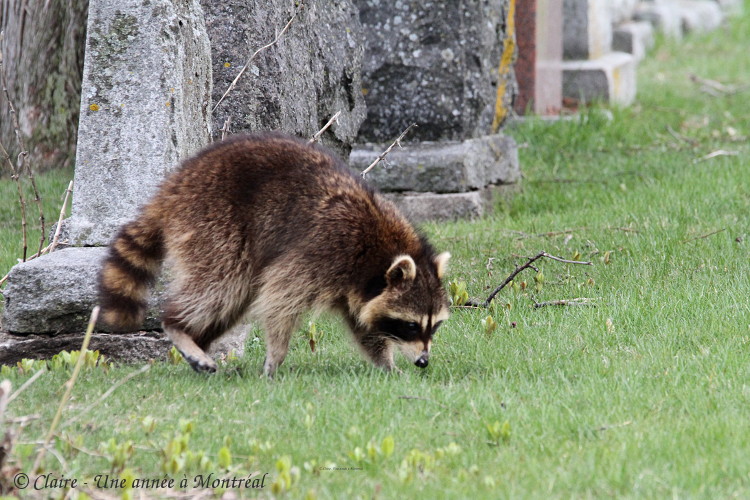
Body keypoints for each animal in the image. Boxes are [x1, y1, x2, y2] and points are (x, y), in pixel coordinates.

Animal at [100, 132, 452, 376]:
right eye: (410, 326)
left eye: (433, 327)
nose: (423, 361)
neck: (379, 252)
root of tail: (174, 185)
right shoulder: (321, 249)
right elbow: (279, 299)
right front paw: (275, 359)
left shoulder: (359, 285)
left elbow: (364, 326)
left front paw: (387, 365)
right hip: (214, 220)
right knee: (221, 287)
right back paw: (178, 326)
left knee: (231, 299)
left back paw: (196, 338)